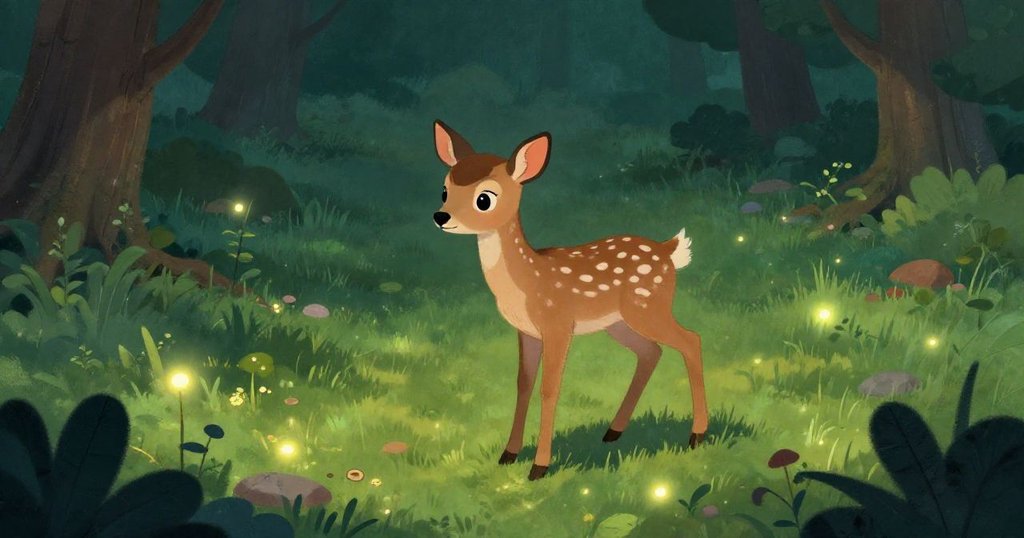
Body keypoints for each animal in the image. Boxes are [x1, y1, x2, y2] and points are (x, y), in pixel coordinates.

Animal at [430, 120, 708, 480]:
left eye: (484, 199)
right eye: (445, 190)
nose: (441, 216)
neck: (528, 280)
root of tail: (668, 250)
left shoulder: (558, 324)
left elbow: (550, 388)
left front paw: (539, 466)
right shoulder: (526, 331)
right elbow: (523, 384)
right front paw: (509, 454)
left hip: (648, 306)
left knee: (691, 340)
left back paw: (697, 434)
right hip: (619, 322)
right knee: (651, 352)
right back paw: (613, 431)